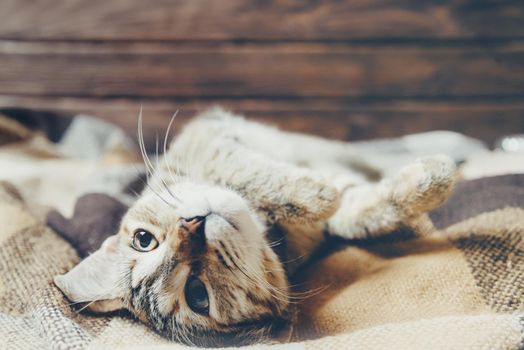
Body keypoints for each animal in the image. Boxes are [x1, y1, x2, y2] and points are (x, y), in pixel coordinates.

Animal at [52, 107, 454, 348]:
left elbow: (247, 170)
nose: (192, 228)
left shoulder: (205, 137)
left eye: (143, 240)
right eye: (197, 295)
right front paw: (322, 194)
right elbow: (348, 209)